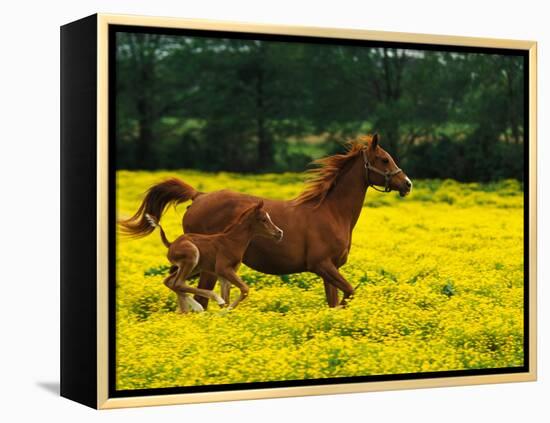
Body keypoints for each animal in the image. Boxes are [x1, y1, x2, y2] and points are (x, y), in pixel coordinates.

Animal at [144, 200, 282, 314]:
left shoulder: (224, 274)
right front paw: (224, 310)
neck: (232, 241)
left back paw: (186, 310)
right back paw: (202, 305)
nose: (279, 233)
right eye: (263, 219)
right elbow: (244, 289)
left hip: (195, 267)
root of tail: (171, 244)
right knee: (178, 283)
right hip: (192, 257)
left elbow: (228, 296)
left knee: (170, 282)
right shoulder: (223, 269)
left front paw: (224, 313)